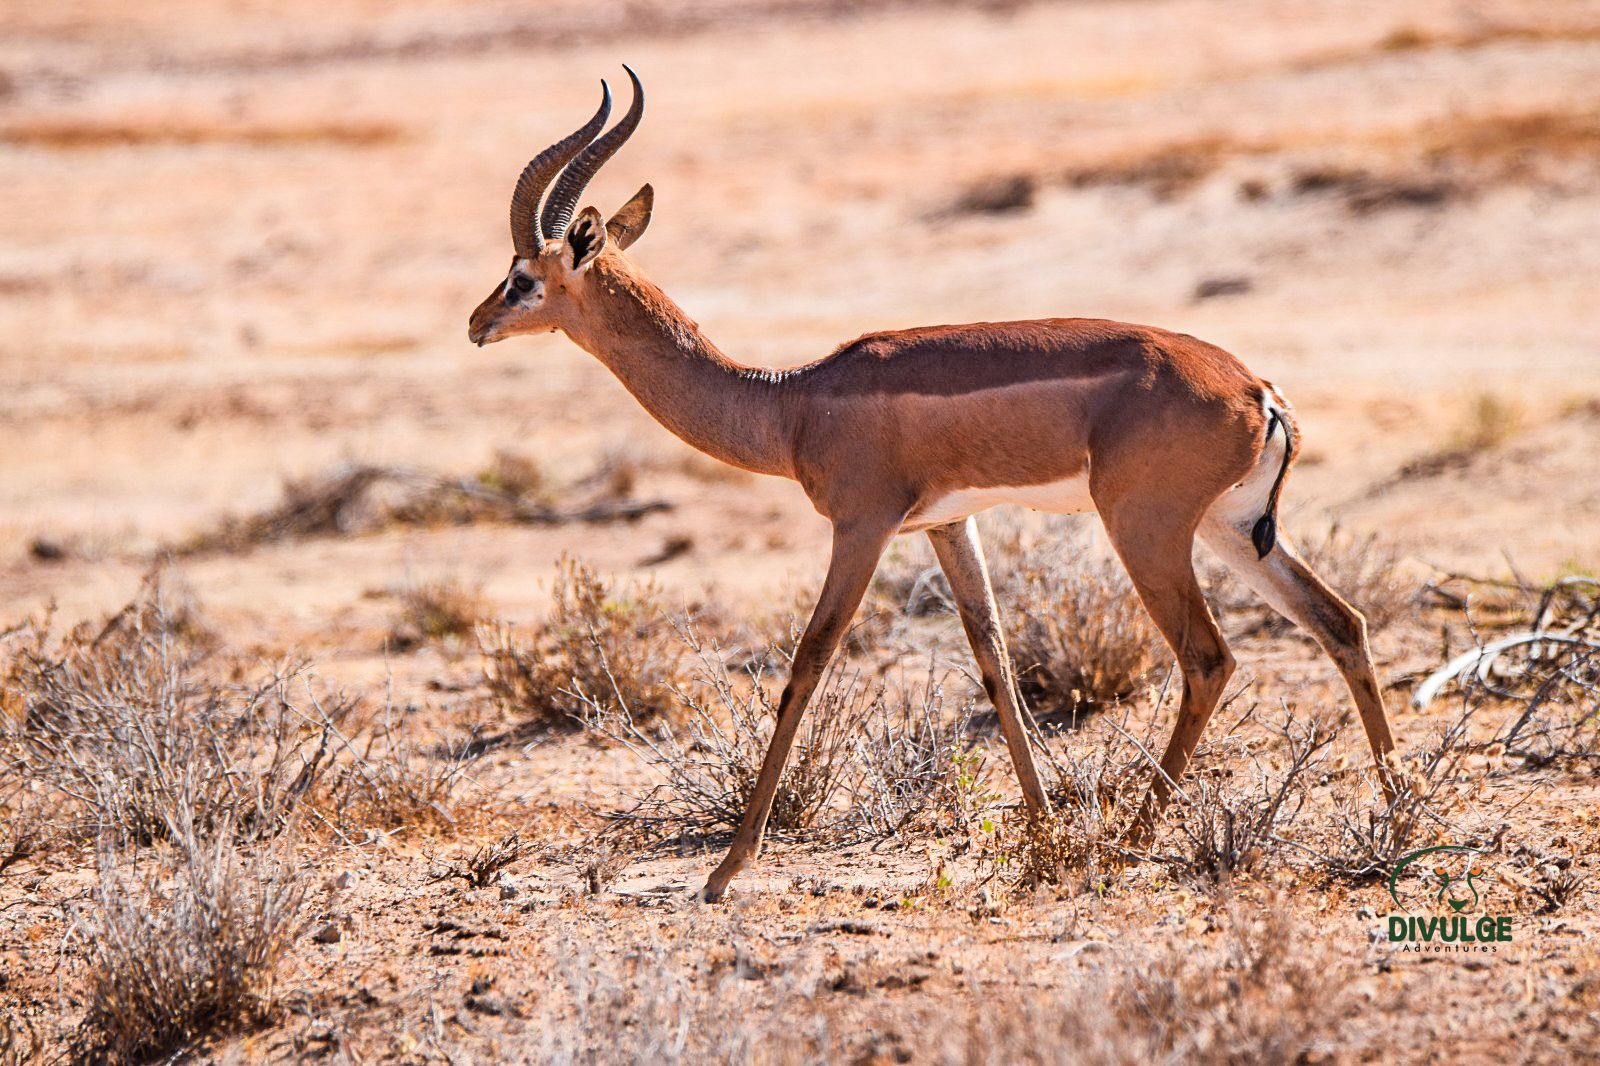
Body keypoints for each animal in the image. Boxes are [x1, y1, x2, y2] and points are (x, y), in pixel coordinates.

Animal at [468, 68, 1400, 902]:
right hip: (1231, 529)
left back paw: (1137, 837)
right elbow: (994, 662)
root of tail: (1257, 390)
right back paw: (1398, 811)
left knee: (1209, 657)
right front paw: (1042, 833)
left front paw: (725, 871)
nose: (477, 323)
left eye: (522, 276)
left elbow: (809, 662)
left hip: (1146, 529)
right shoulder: (949, 527)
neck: (791, 403)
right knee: (1339, 622)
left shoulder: (862, 527)